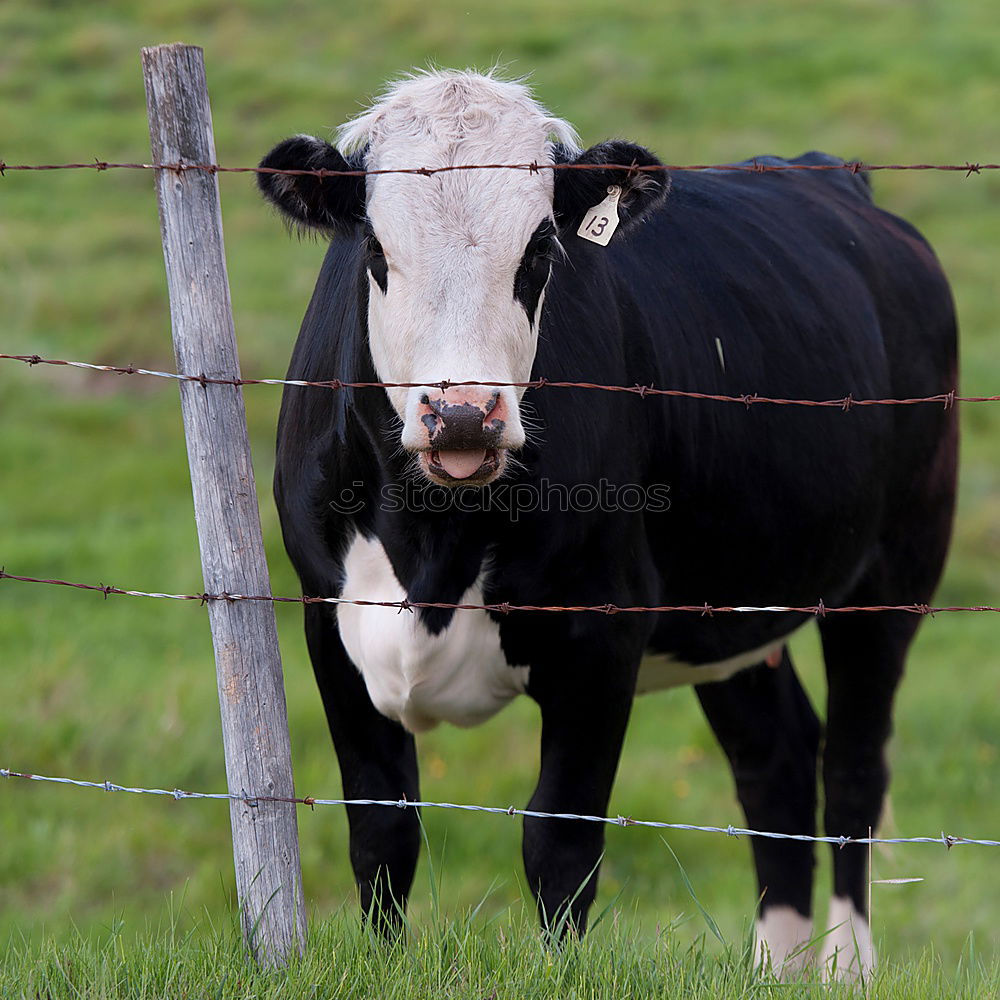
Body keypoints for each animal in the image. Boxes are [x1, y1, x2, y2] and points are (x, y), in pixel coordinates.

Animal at [256, 72, 952, 984]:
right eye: (375, 249)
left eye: (542, 250)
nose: (463, 415)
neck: (434, 543)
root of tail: (829, 175)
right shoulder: (328, 620)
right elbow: (382, 830)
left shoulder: (602, 632)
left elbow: (560, 842)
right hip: (726, 601)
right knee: (777, 760)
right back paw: (777, 969)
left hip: (894, 572)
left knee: (853, 769)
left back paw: (845, 968)